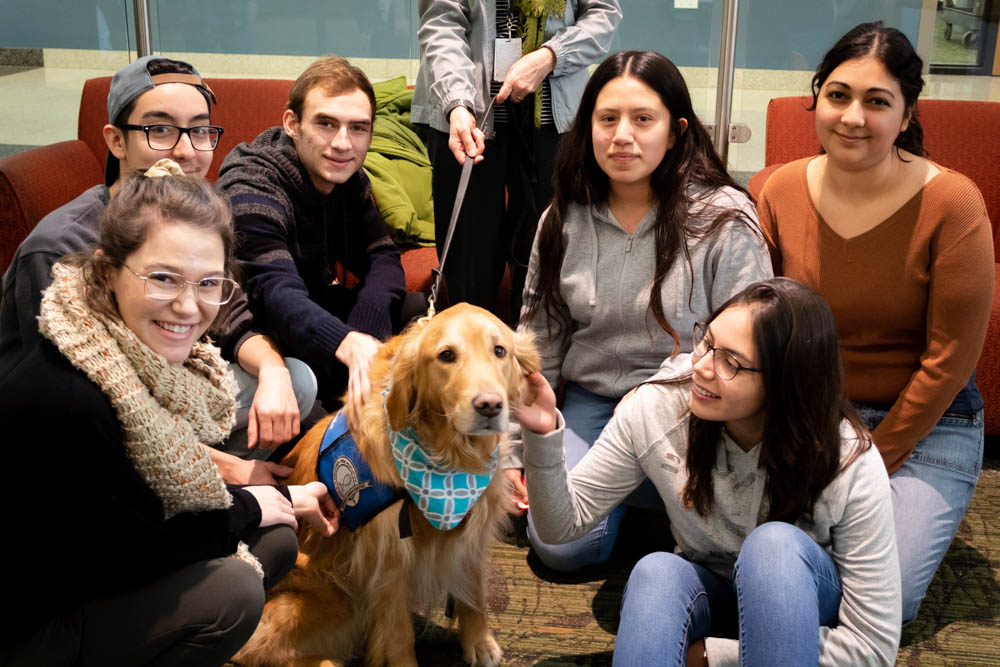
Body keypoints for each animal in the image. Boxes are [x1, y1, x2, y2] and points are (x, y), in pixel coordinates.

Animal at [233, 304, 540, 667]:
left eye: (500, 351)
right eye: (447, 355)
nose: (490, 405)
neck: (449, 460)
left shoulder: (473, 535)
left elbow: (475, 592)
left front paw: (479, 643)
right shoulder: (388, 558)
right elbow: (398, 632)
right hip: (336, 597)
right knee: (257, 650)